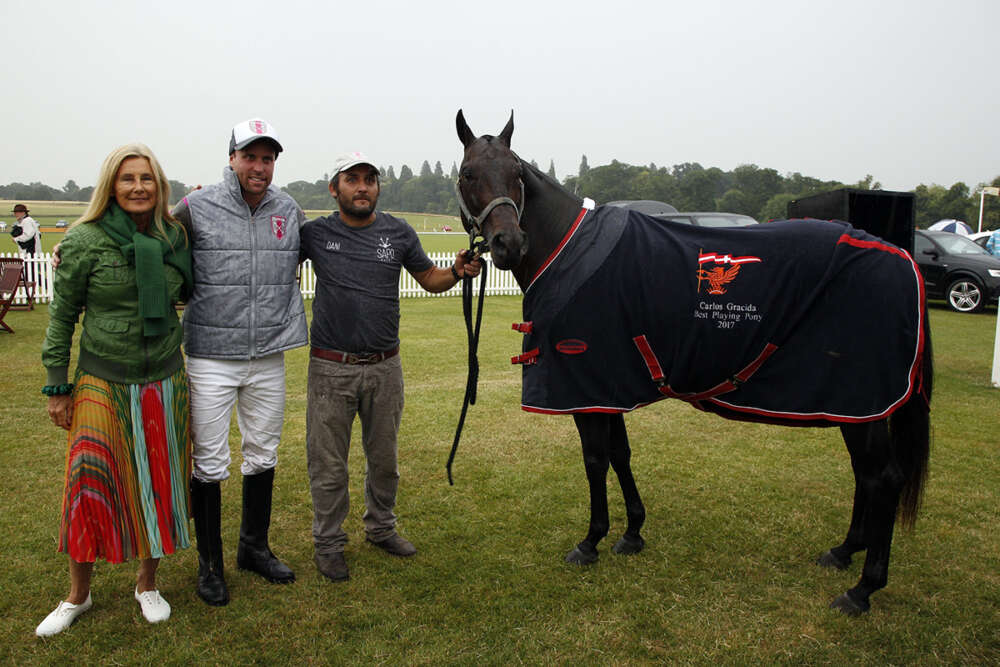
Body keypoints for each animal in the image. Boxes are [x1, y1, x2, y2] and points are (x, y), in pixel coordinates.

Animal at [458, 109, 932, 616]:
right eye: (468, 174)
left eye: (516, 174)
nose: (508, 243)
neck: (570, 248)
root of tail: (901, 256)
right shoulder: (610, 383)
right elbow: (620, 454)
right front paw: (632, 533)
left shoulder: (586, 385)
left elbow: (595, 460)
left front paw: (590, 542)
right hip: (854, 404)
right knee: (865, 474)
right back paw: (844, 552)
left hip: (862, 399)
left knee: (883, 478)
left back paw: (863, 589)